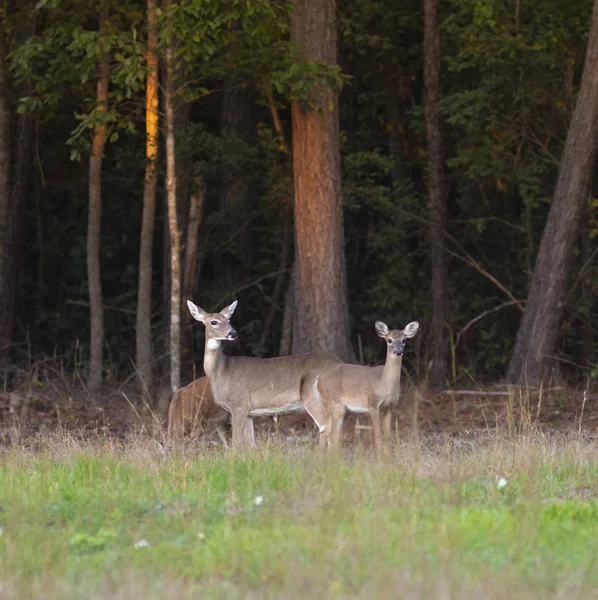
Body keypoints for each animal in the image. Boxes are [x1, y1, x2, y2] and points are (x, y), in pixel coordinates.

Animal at [185, 298, 344, 446]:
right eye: (214, 322)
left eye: (228, 320)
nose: (233, 333)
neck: (220, 372)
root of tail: (338, 362)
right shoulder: (248, 412)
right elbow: (251, 444)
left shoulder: (239, 403)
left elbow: (236, 442)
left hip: (311, 395)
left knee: (326, 426)